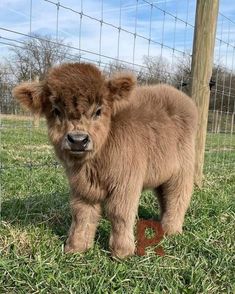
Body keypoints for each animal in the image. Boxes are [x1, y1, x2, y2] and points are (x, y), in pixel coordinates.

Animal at [13, 62, 198, 258]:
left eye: (98, 111)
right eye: (56, 110)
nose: (78, 140)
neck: (93, 165)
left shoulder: (125, 184)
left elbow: (119, 213)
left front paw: (122, 252)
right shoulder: (82, 188)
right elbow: (81, 215)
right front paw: (76, 248)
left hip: (183, 169)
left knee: (177, 197)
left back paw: (171, 231)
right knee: (164, 197)